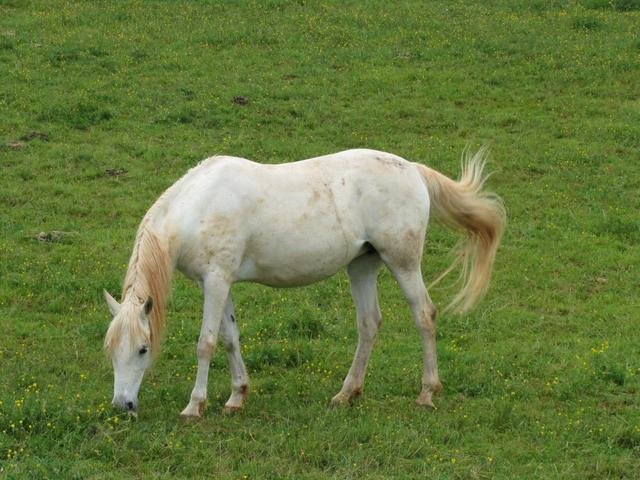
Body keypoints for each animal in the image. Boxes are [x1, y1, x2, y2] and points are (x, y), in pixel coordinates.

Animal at [104, 148, 504, 418]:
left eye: (143, 349)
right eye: (111, 351)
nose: (123, 404)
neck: (199, 207)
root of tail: (413, 171)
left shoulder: (217, 280)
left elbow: (207, 343)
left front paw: (194, 405)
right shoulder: (217, 283)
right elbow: (231, 338)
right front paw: (237, 396)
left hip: (402, 262)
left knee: (424, 315)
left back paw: (426, 393)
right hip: (362, 265)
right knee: (369, 324)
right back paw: (346, 394)